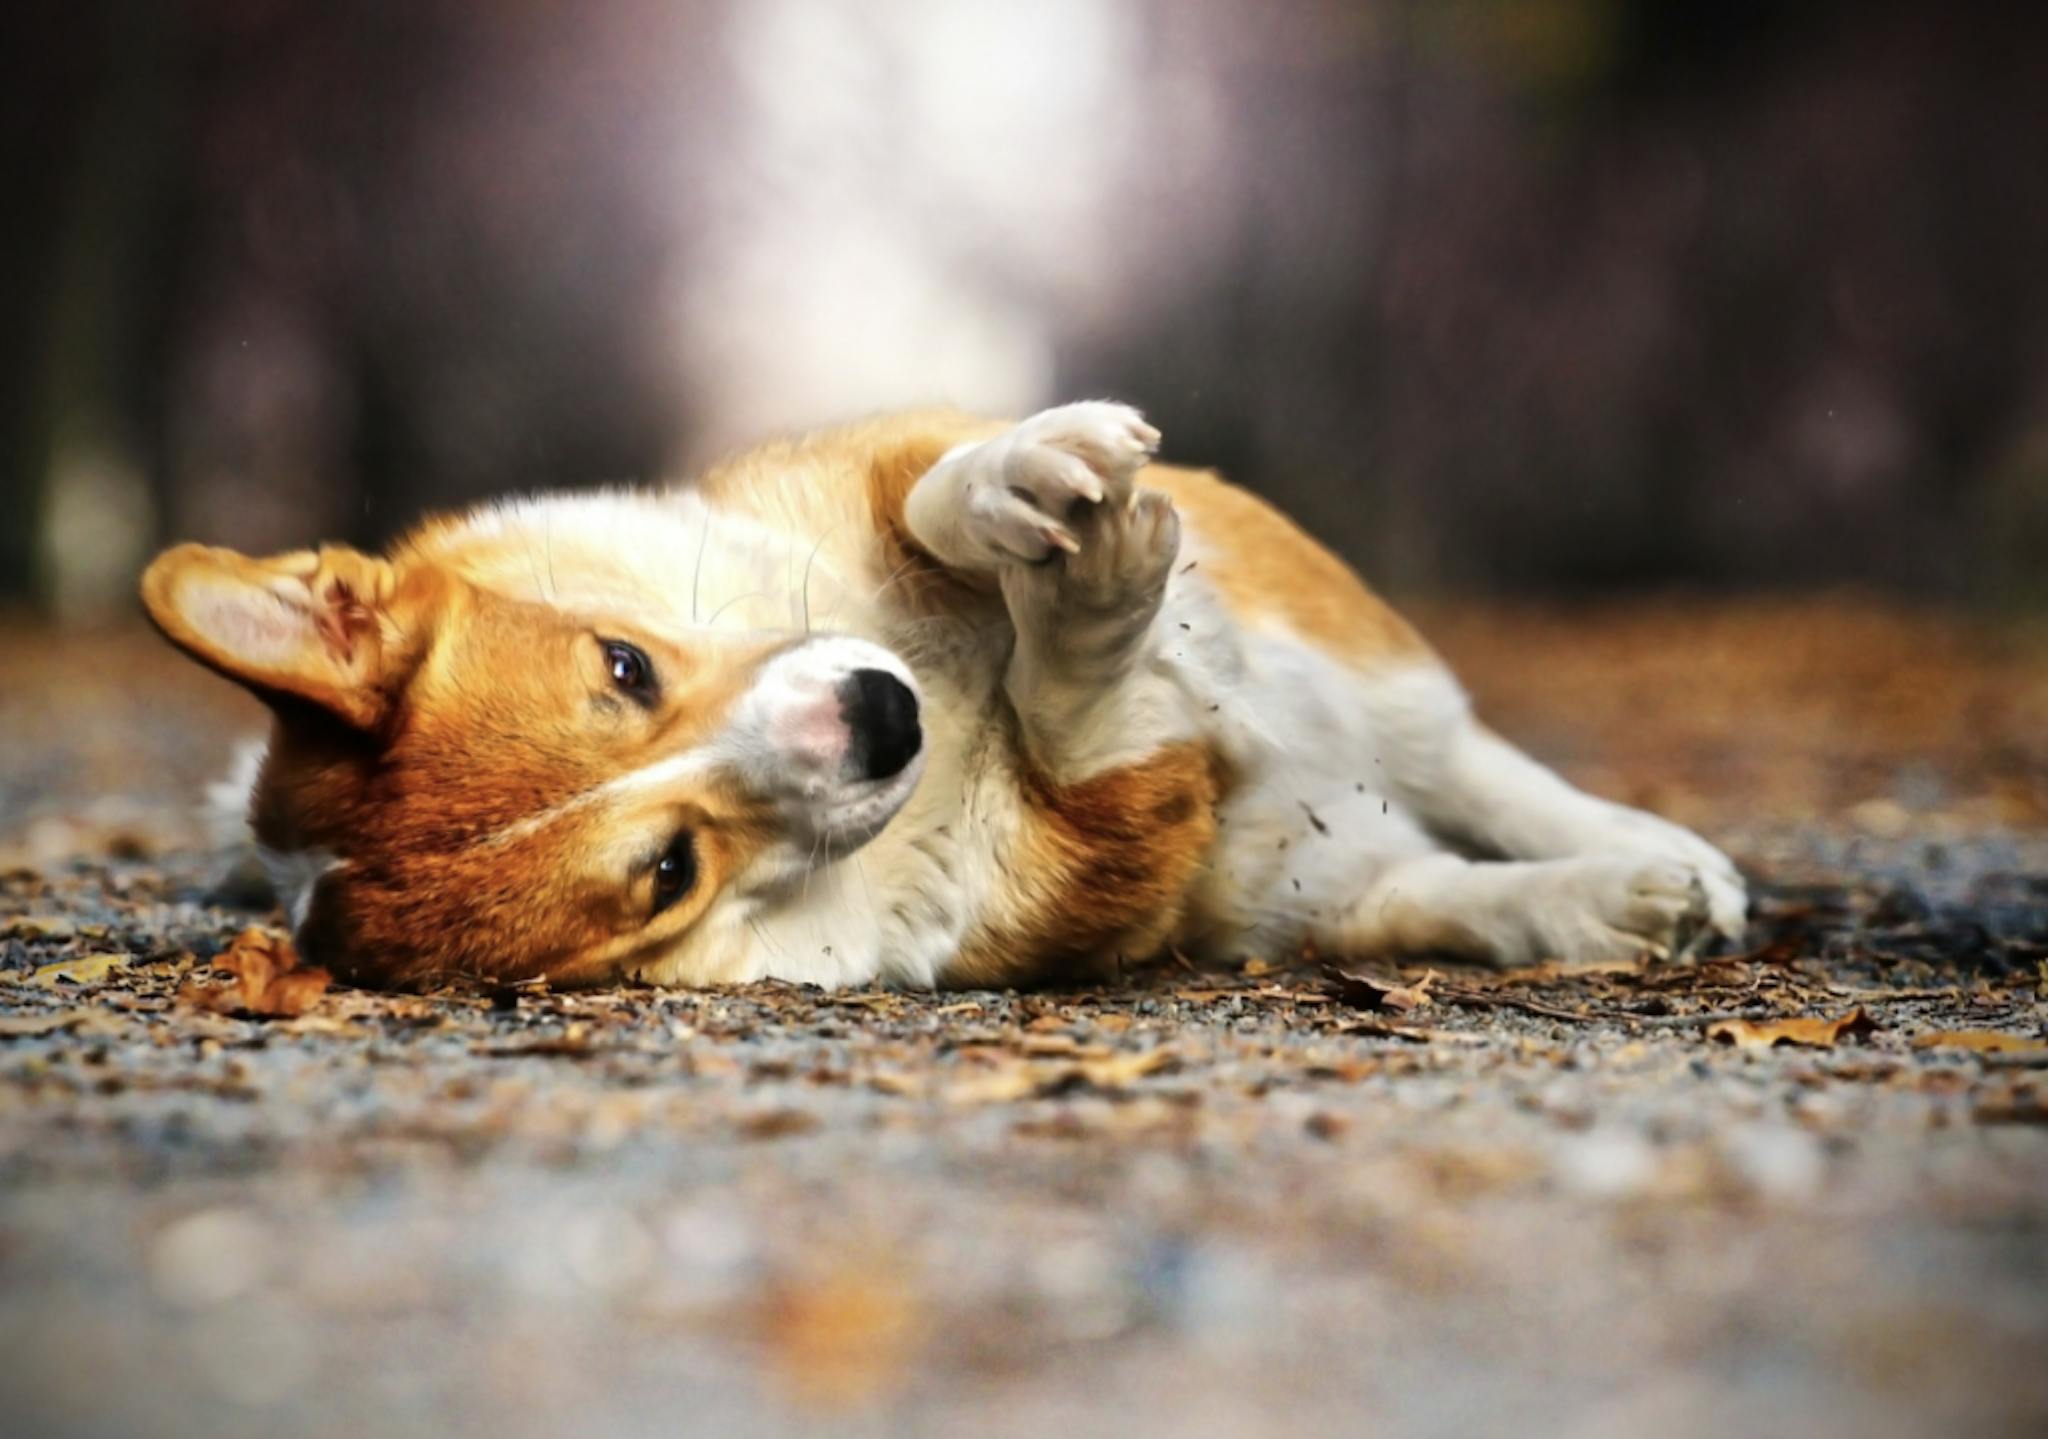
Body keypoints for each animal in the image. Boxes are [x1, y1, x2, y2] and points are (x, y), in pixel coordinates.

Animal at [144, 405, 1744, 990]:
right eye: (668, 870)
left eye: (625, 664)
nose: (884, 717)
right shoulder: (1096, 858)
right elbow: (1089, 730)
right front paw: (1092, 628)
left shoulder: (872, 469)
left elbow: (928, 488)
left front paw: (1032, 496)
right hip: (1308, 885)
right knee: (1438, 884)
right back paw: (1617, 905)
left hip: (1351, 656)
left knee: (1470, 759)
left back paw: (1668, 859)